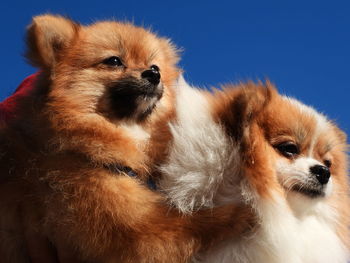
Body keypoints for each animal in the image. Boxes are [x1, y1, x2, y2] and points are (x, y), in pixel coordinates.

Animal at [0, 15, 254, 263]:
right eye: (113, 61)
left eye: (154, 66)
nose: (154, 74)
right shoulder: (130, 229)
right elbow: (191, 223)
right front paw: (240, 213)